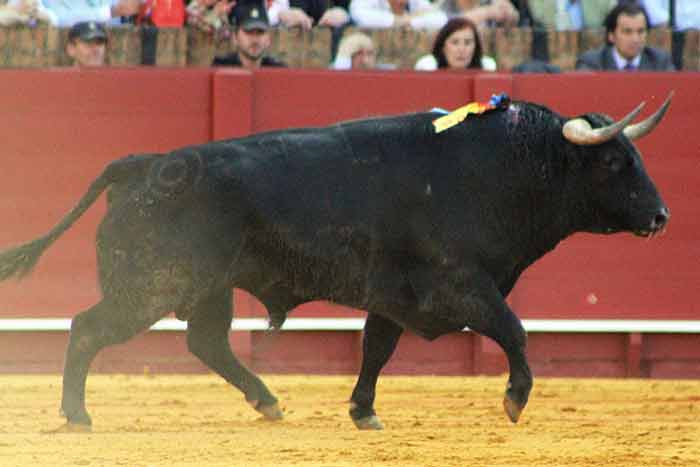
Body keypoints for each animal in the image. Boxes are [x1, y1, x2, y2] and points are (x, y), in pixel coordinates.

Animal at [0, 94, 672, 432]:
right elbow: (514, 329)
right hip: (151, 286)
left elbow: (376, 348)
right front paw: (515, 400)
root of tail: (143, 164)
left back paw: (268, 402)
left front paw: (363, 411)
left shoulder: (395, 295)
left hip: (209, 287)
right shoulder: (460, 284)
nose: (663, 216)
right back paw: (78, 415)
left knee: (206, 342)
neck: (506, 168)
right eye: (614, 162)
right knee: (88, 328)